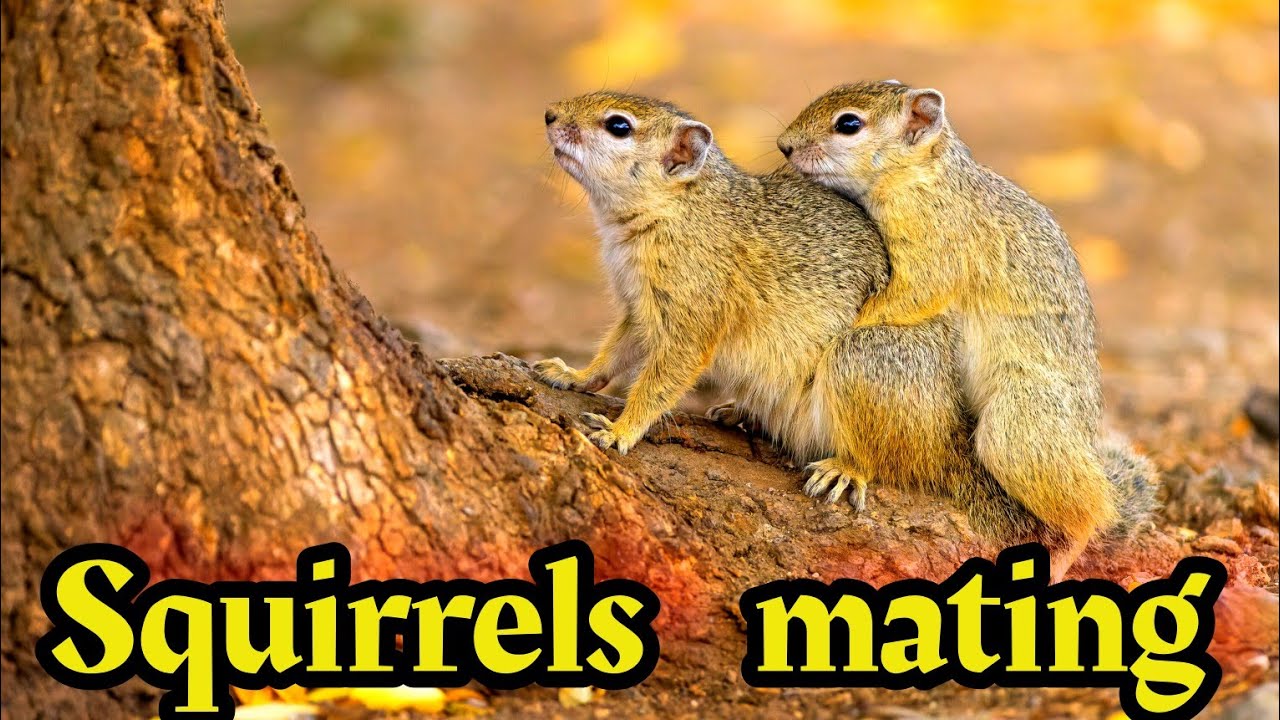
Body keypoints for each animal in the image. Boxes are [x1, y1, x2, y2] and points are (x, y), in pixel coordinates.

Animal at [777, 80, 1156, 577]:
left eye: (849, 124)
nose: (784, 146)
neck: (924, 177)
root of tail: (1083, 434)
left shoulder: (935, 250)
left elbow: (903, 300)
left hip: (1017, 428)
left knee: (1091, 512)